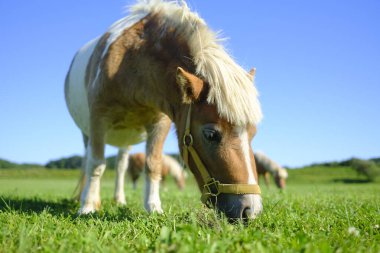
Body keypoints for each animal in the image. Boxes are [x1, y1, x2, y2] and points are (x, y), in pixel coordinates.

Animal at [64, 0, 262, 219]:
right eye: (210, 134)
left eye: (253, 133)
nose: (251, 210)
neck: (131, 60)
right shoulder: (99, 118)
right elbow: (96, 163)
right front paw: (88, 206)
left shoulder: (160, 123)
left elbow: (153, 164)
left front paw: (153, 207)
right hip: (87, 133)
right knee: (87, 161)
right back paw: (83, 197)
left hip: (125, 140)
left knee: (121, 166)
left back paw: (120, 200)